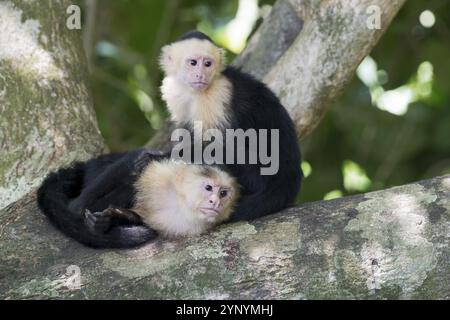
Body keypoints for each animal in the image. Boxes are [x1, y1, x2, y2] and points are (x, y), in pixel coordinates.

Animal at [37, 149, 239, 249]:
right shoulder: (164, 170)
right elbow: (135, 161)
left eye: (223, 193)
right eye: (208, 188)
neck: (179, 203)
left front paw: (110, 219)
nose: (215, 202)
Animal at [158, 31, 302, 221]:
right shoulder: (174, 93)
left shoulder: (217, 96)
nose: (200, 75)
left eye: (208, 64)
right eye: (193, 63)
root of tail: (289, 179)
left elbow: (217, 145)